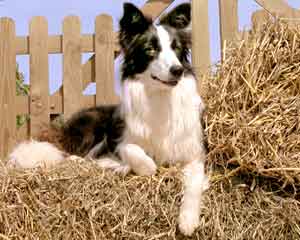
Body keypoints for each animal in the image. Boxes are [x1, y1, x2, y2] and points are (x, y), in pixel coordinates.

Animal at [7, 2, 209, 236]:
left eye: (176, 48)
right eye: (151, 49)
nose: (177, 70)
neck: (161, 97)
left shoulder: (194, 153)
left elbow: (194, 181)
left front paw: (188, 220)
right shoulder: (120, 141)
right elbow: (141, 158)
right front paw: (135, 165)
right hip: (93, 128)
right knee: (74, 156)